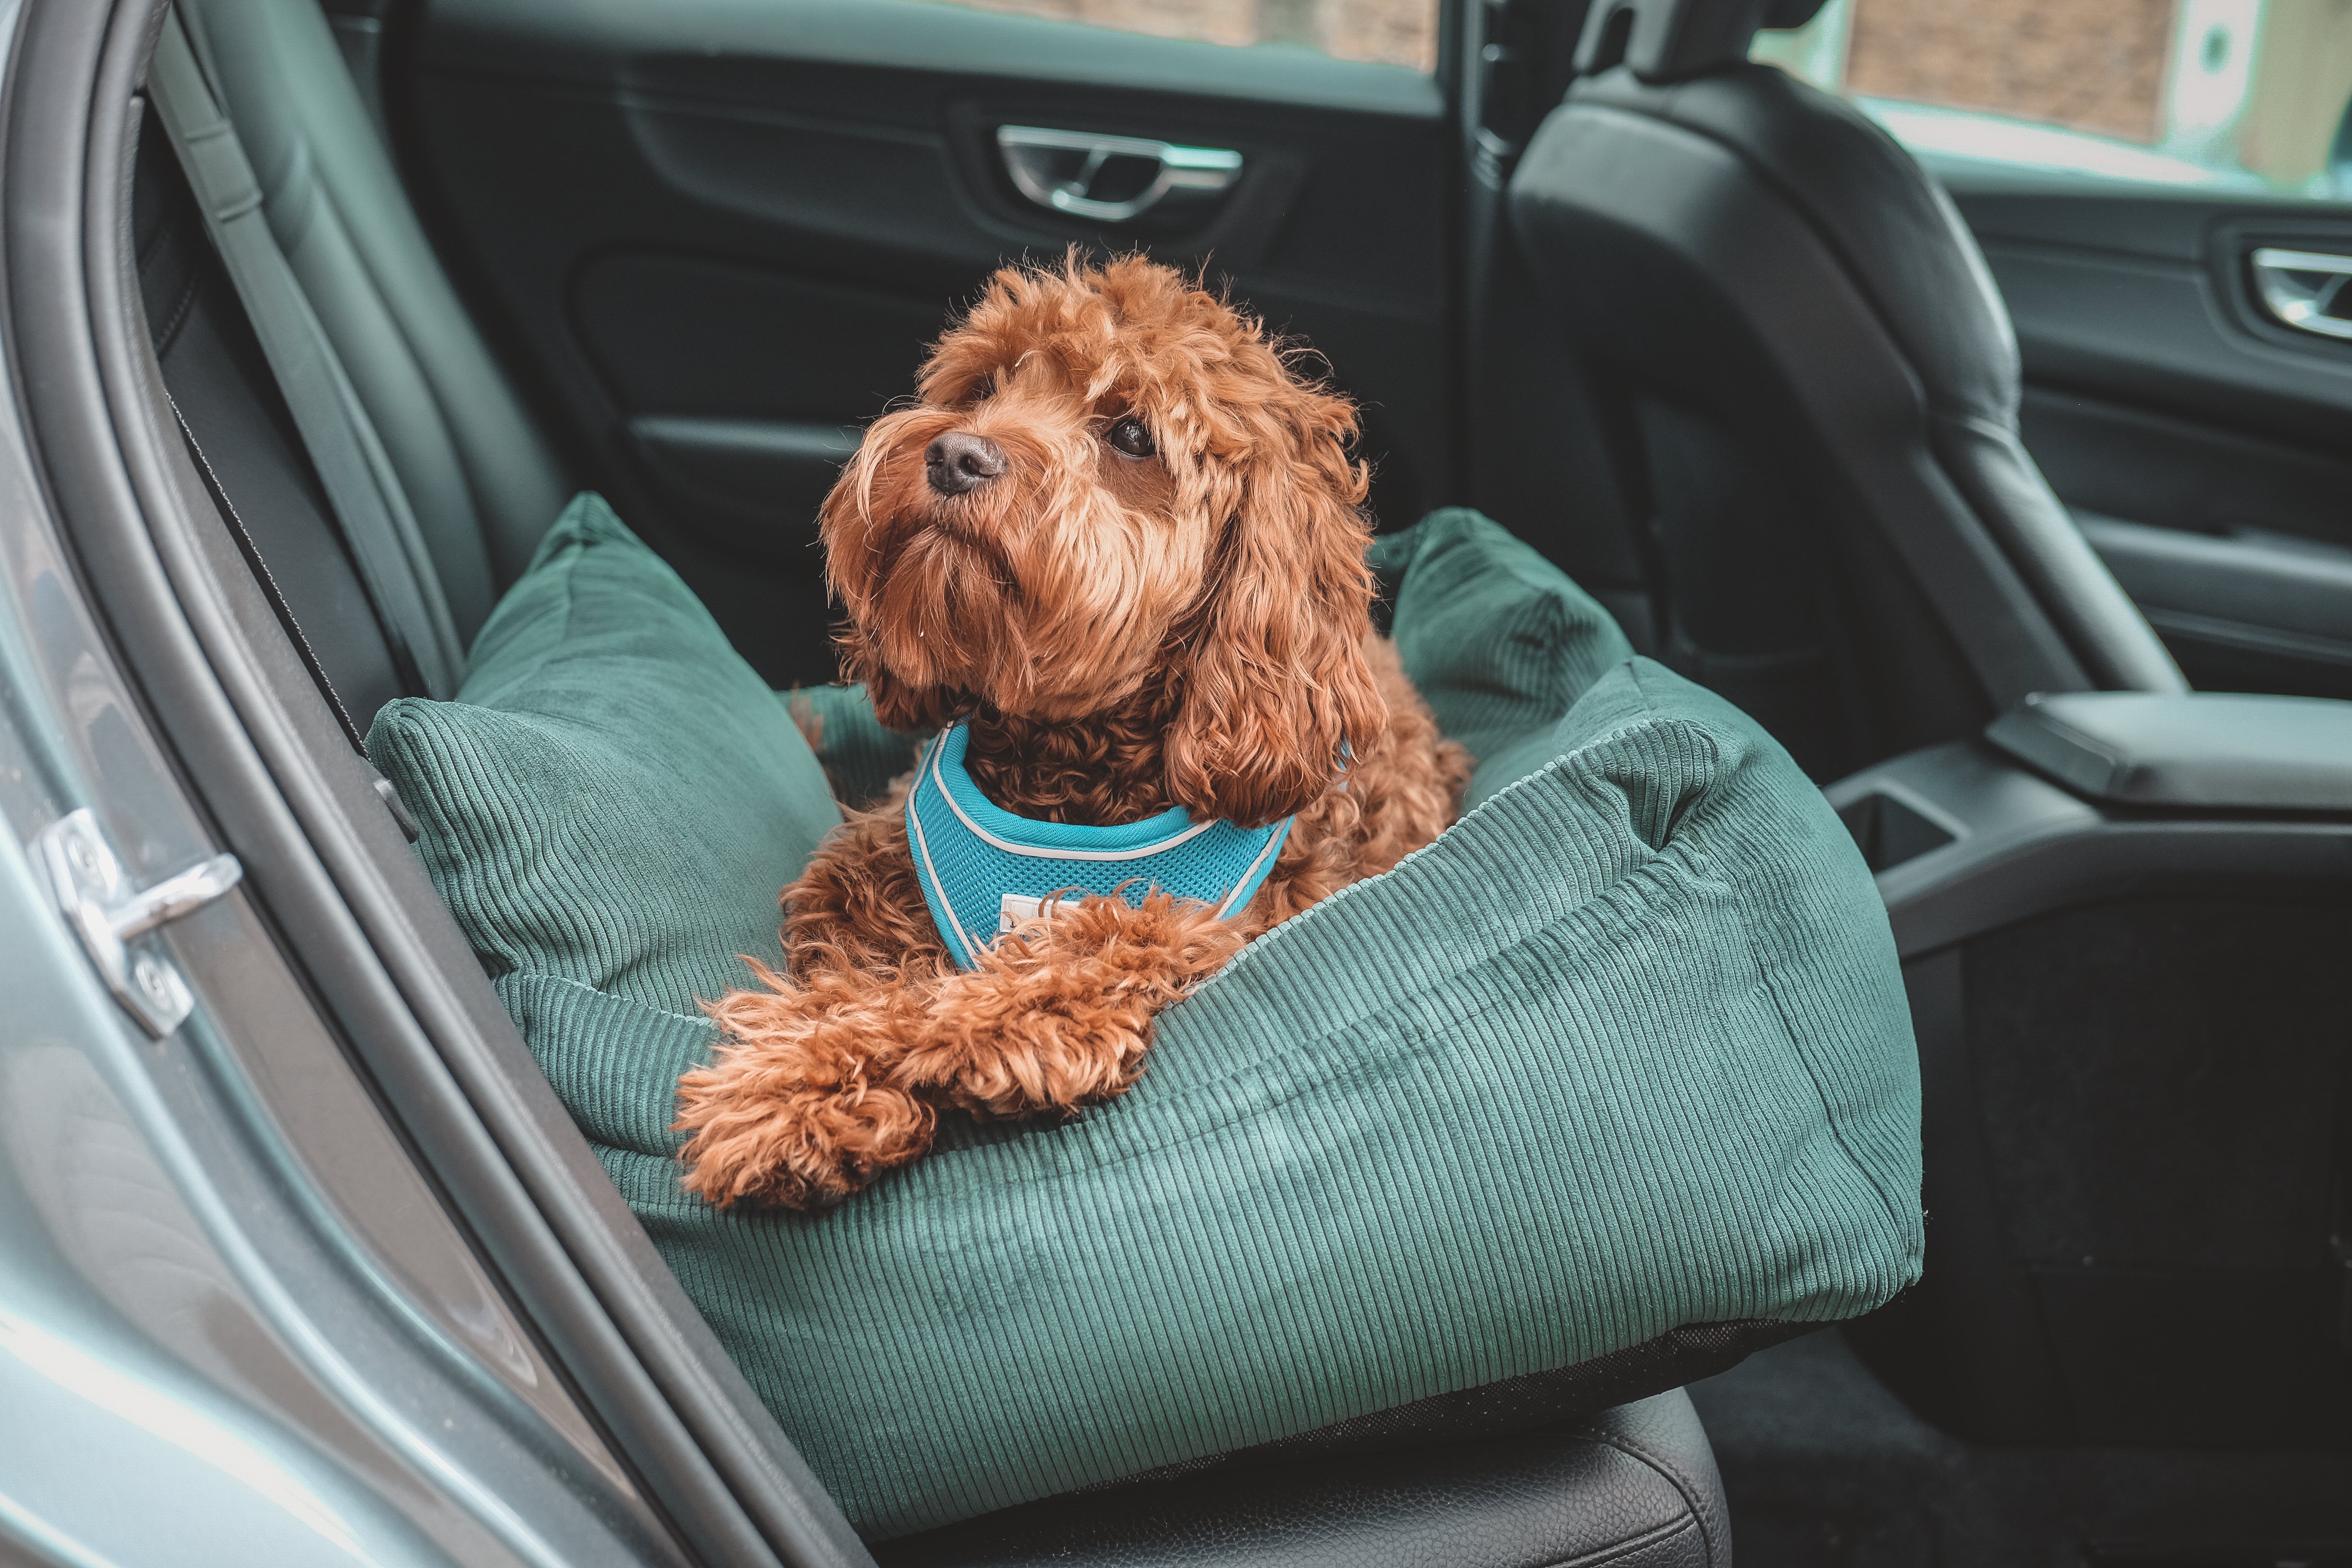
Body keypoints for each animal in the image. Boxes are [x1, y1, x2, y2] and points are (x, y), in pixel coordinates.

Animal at [668, 261, 1468, 1213]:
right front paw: (808, 1070)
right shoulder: (860, 882)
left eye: (1131, 435)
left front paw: (786, 1086)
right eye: (984, 387)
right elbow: (847, 966)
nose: (956, 455)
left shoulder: (1141, 943)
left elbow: (966, 1000)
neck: (1066, 764)